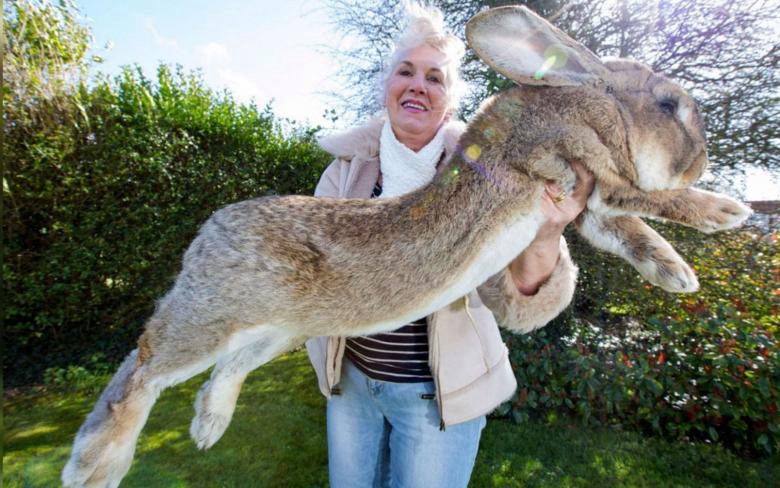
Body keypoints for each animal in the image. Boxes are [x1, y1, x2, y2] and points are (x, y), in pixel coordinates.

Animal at [62, 5, 751, 487]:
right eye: (668, 104)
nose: (701, 162)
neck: (588, 102)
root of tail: (210, 231)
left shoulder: (590, 204)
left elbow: (630, 231)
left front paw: (677, 274)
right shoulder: (585, 168)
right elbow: (650, 202)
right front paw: (725, 211)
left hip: (277, 330)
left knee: (221, 368)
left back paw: (208, 426)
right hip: (217, 314)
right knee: (143, 364)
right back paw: (94, 464)